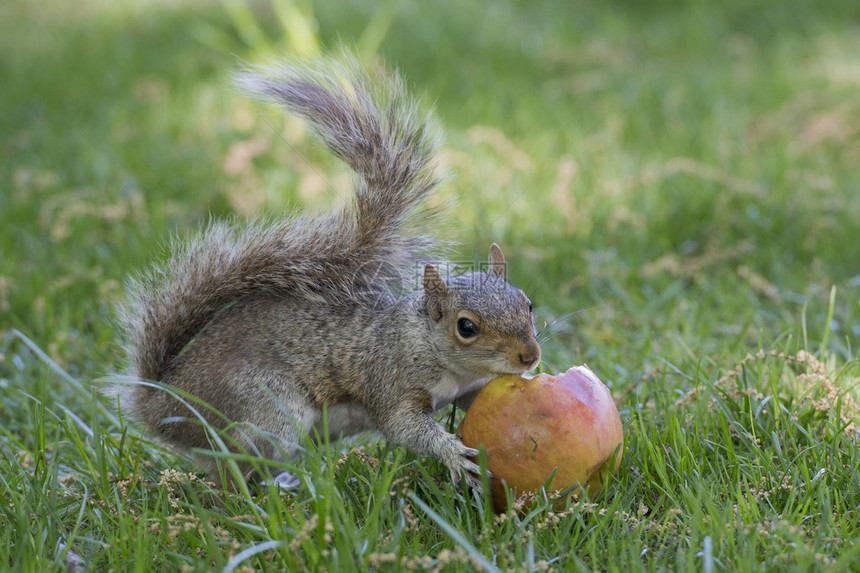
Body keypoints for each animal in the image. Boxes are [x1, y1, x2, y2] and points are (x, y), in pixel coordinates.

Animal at [113, 54, 540, 492]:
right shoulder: (390, 379)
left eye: (528, 304)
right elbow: (403, 428)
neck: (426, 343)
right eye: (466, 327)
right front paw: (452, 454)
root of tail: (163, 402)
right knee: (230, 478)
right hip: (267, 412)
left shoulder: (472, 387)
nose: (530, 356)